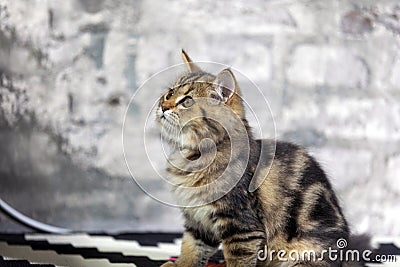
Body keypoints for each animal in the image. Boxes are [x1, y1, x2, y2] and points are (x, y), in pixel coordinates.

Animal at [156, 50, 356, 267]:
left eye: (187, 101)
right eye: (169, 94)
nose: (163, 106)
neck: (193, 156)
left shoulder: (241, 225)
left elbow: (238, 260)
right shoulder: (198, 222)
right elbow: (191, 248)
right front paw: (178, 263)